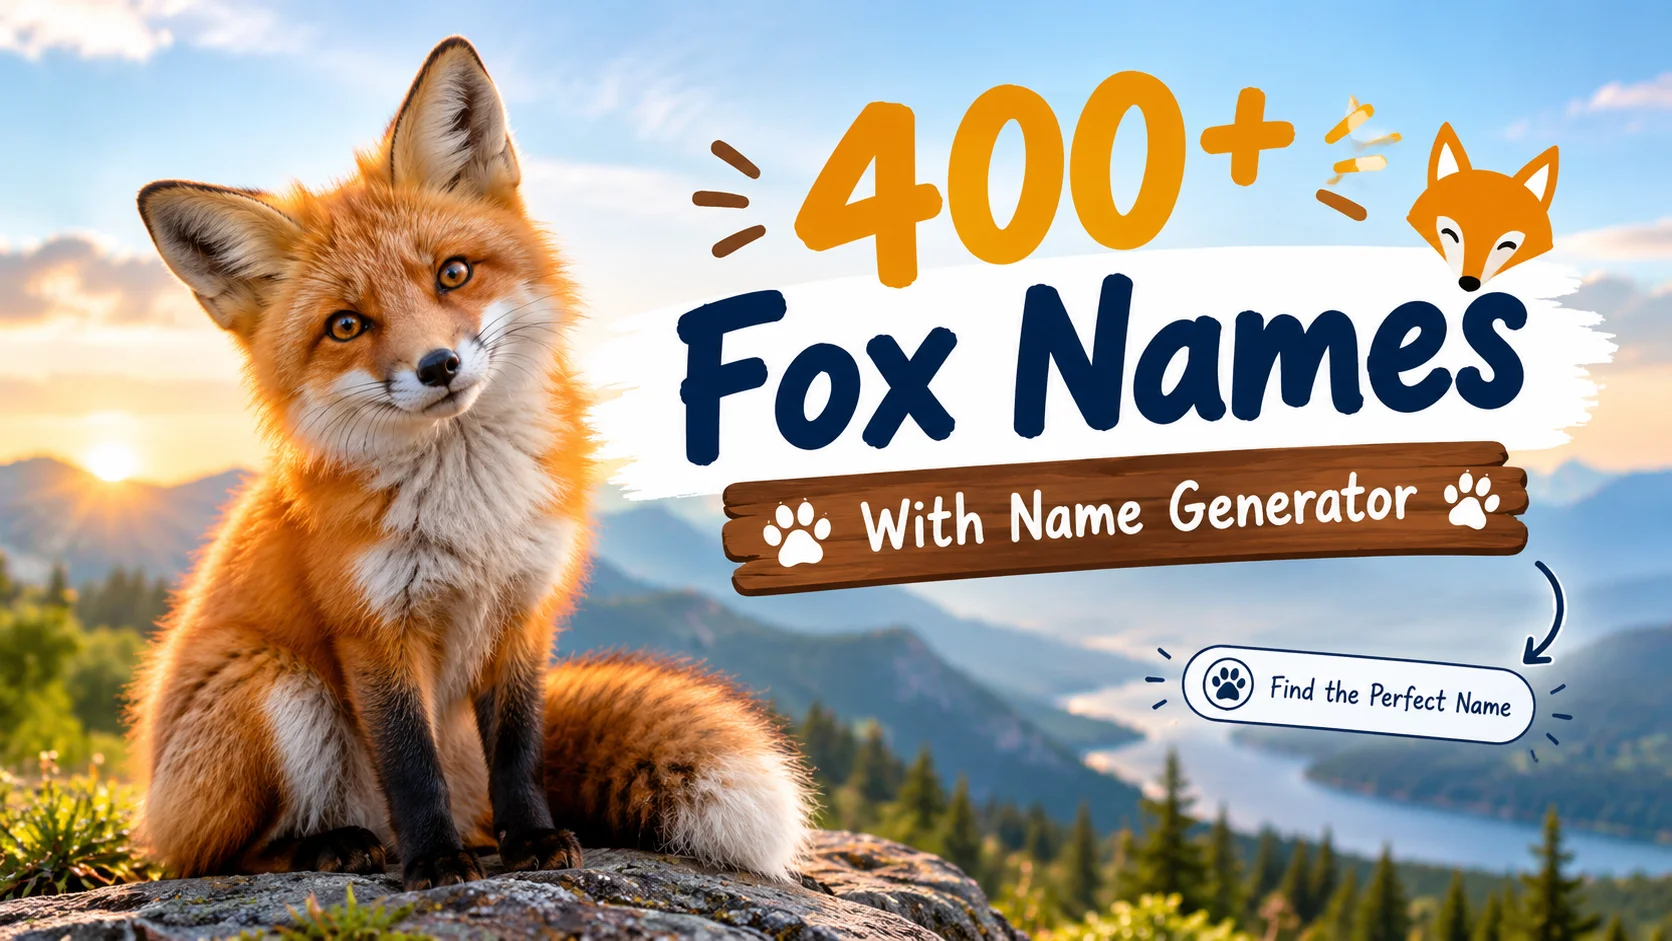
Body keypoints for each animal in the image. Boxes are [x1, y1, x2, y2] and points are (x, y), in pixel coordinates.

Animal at [128, 36, 811, 890]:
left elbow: (519, 750)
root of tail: (150, 795)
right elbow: (408, 759)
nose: (438, 365)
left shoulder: (523, 608)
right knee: (209, 857)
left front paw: (534, 840)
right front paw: (435, 859)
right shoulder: (374, 628)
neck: (471, 514)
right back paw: (334, 845)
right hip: (276, 685)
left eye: (452, 272)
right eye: (346, 324)